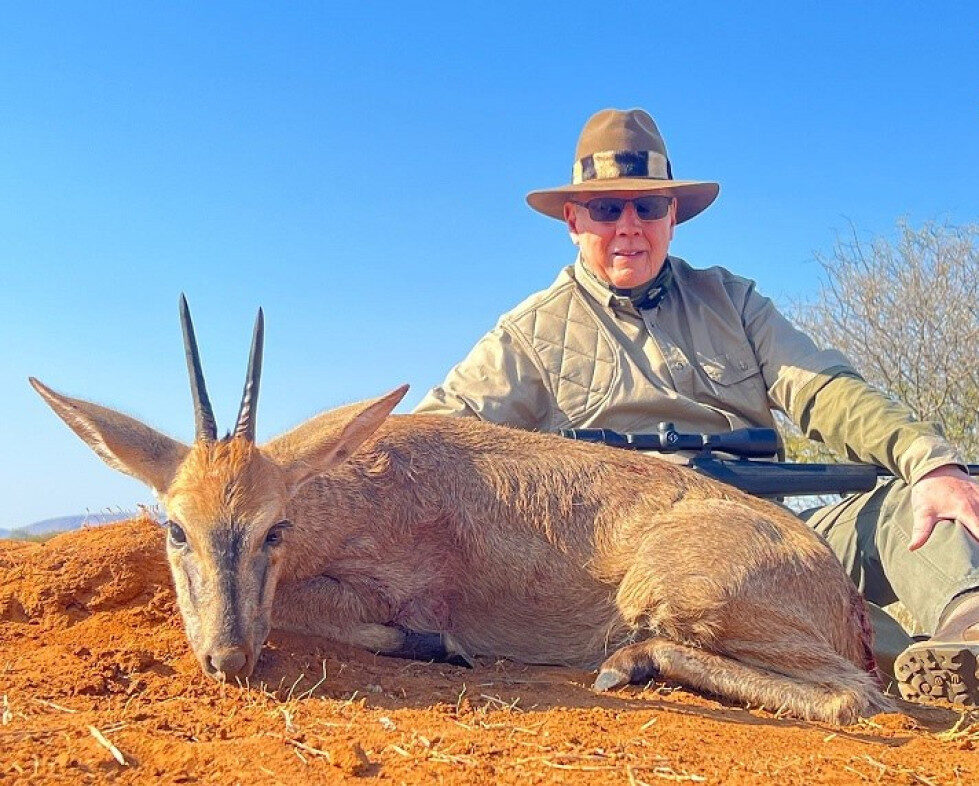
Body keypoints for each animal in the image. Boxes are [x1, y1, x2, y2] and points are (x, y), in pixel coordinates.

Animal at [28, 296, 888, 724]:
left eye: (275, 528)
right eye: (175, 527)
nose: (227, 659)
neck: (361, 484)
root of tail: (831, 584)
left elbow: (341, 615)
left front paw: (434, 646)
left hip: (680, 595)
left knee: (852, 698)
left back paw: (623, 664)